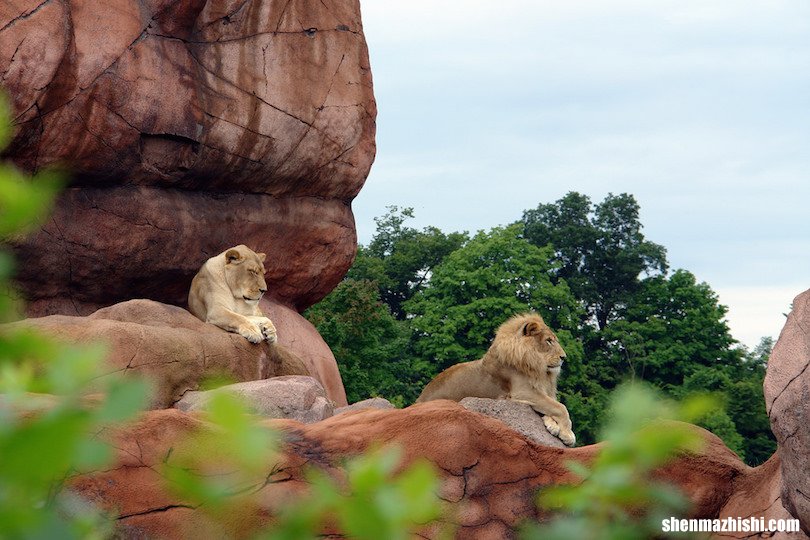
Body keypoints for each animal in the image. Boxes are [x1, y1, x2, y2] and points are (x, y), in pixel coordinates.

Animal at [416, 312, 576, 448]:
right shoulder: (523, 391)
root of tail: (419, 399)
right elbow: (560, 407)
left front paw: (553, 426)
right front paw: (568, 434)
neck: (538, 368)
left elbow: (552, 405)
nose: (564, 357)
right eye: (548, 341)